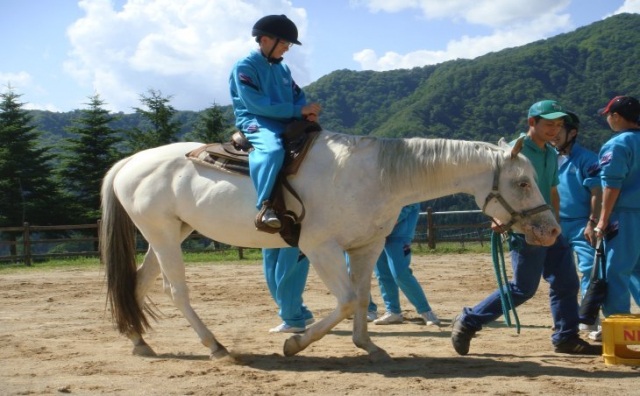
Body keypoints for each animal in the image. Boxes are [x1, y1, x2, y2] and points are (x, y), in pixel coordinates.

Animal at [101, 131, 560, 362]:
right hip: (162, 235)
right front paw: (295, 343)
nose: (551, 230)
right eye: (523, 182)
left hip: (168, 234)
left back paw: (139, 342)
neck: (377, 175)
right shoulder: (321, 248)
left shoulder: (366, 247)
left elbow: (360, 295)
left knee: (138, 284)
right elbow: (345, 301)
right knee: (175, 291)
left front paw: (368, 345)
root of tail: (130, 162)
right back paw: (216, 348)